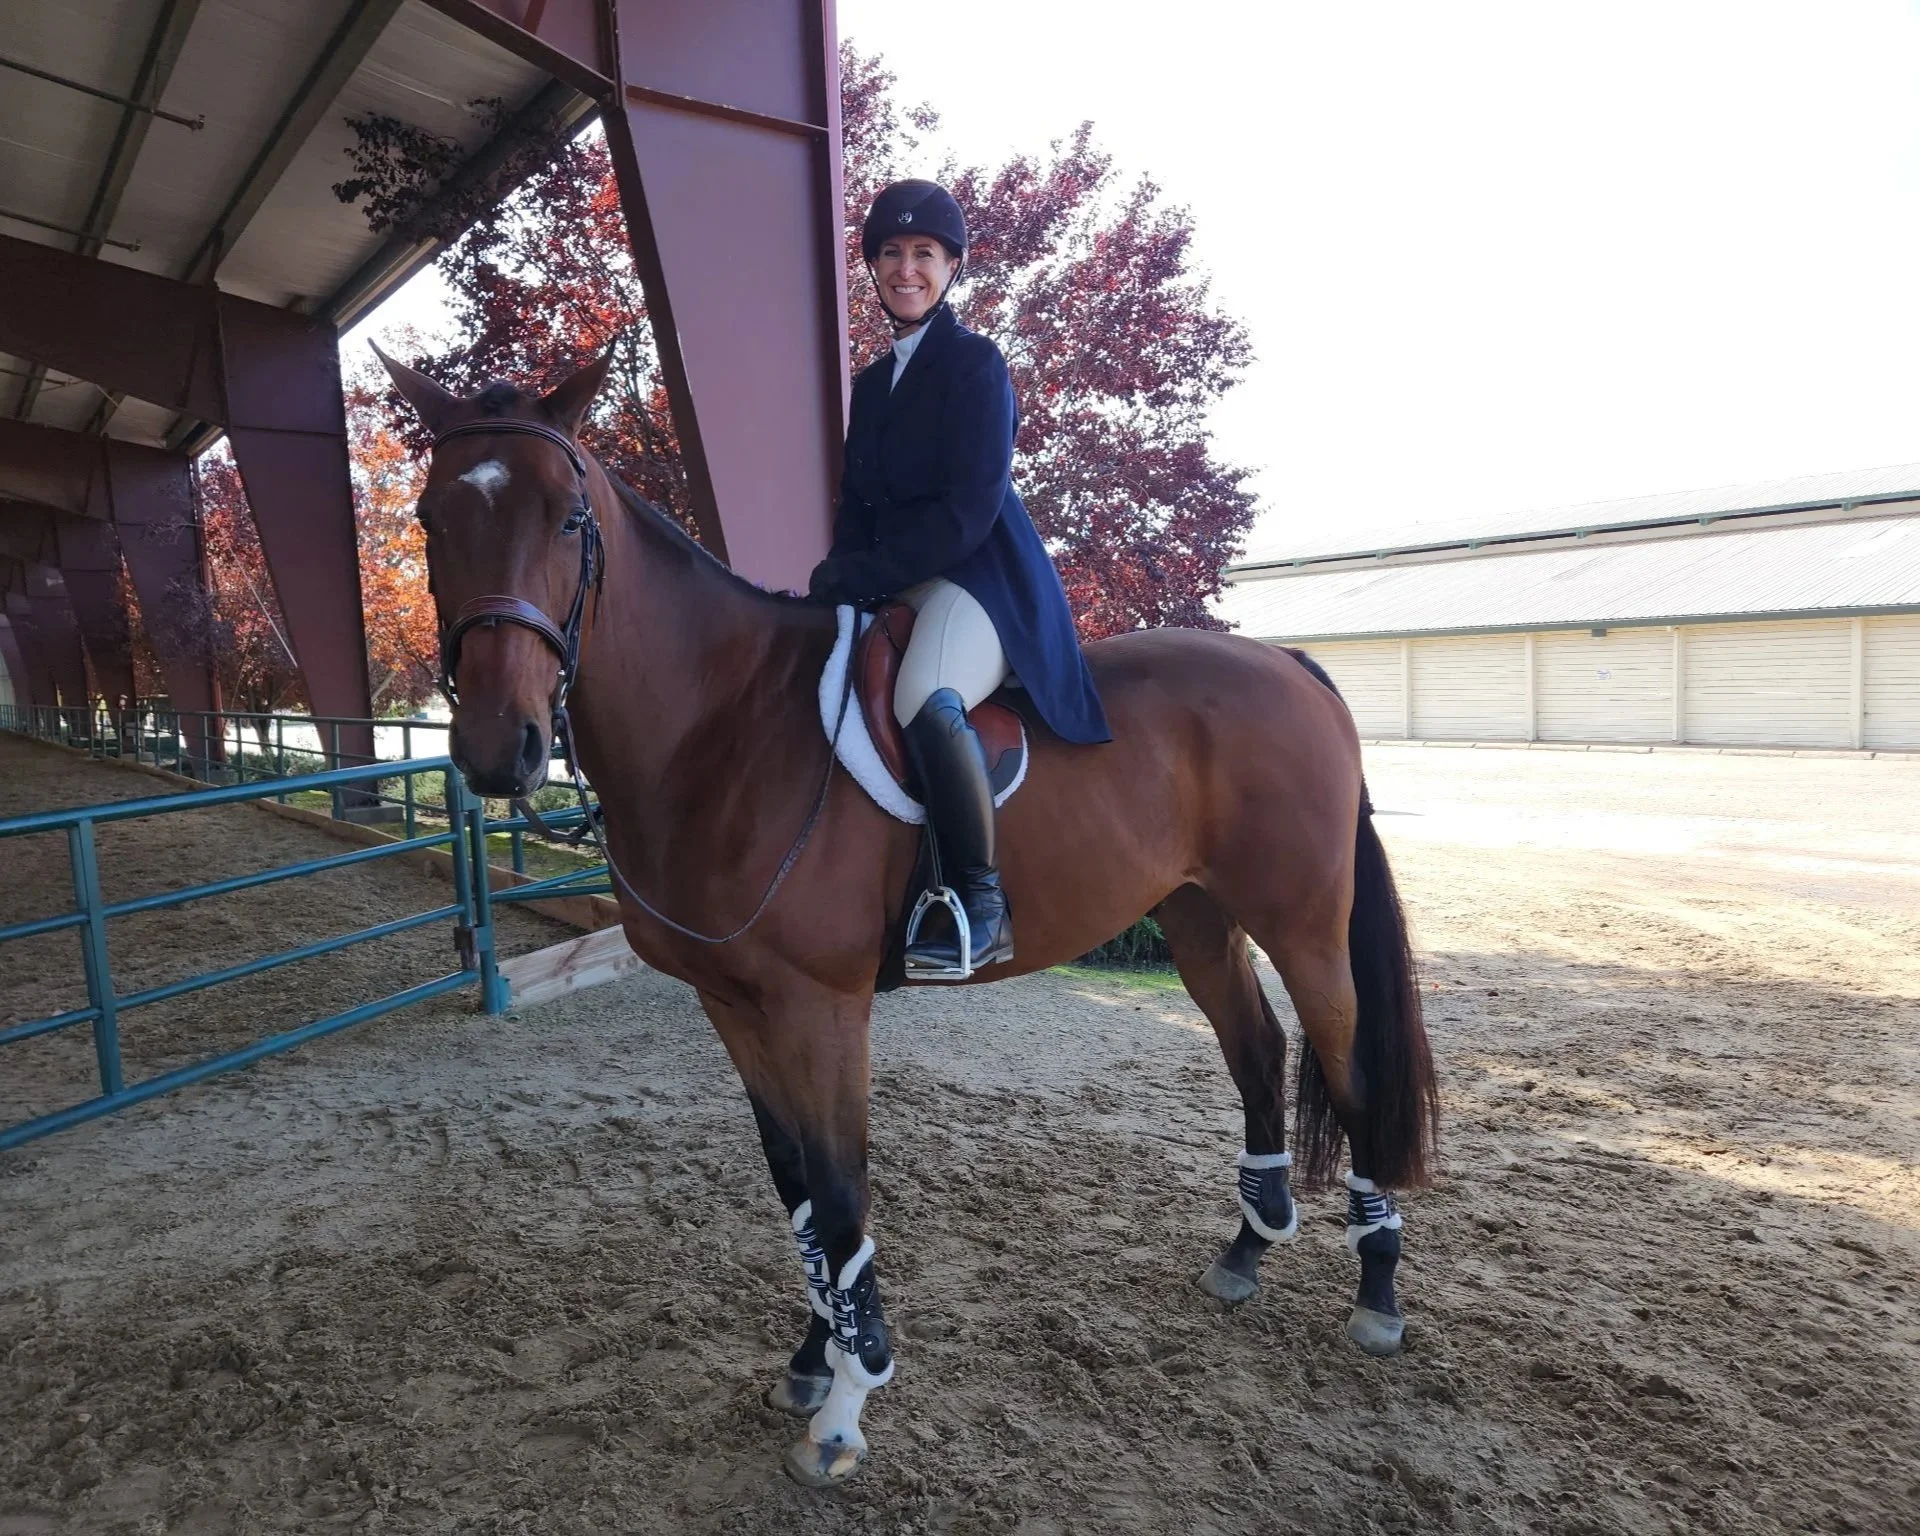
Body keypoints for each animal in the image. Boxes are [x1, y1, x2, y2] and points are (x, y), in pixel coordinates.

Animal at [375, 344, 1440, 1488]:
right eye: (432, 516)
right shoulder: (732, 1002)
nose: (501, 749)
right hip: (1197, 917)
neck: (721, 729)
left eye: (569, 519)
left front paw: (846, 1409)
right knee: (1256, 1048)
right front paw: (814, 1361)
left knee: (1350, 1070)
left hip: (1303, 925)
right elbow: (798, 1189)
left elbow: (842, 1197)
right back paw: (1248, 1247)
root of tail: (1289, 664)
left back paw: (1379, 1291)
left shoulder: (820, 1007)